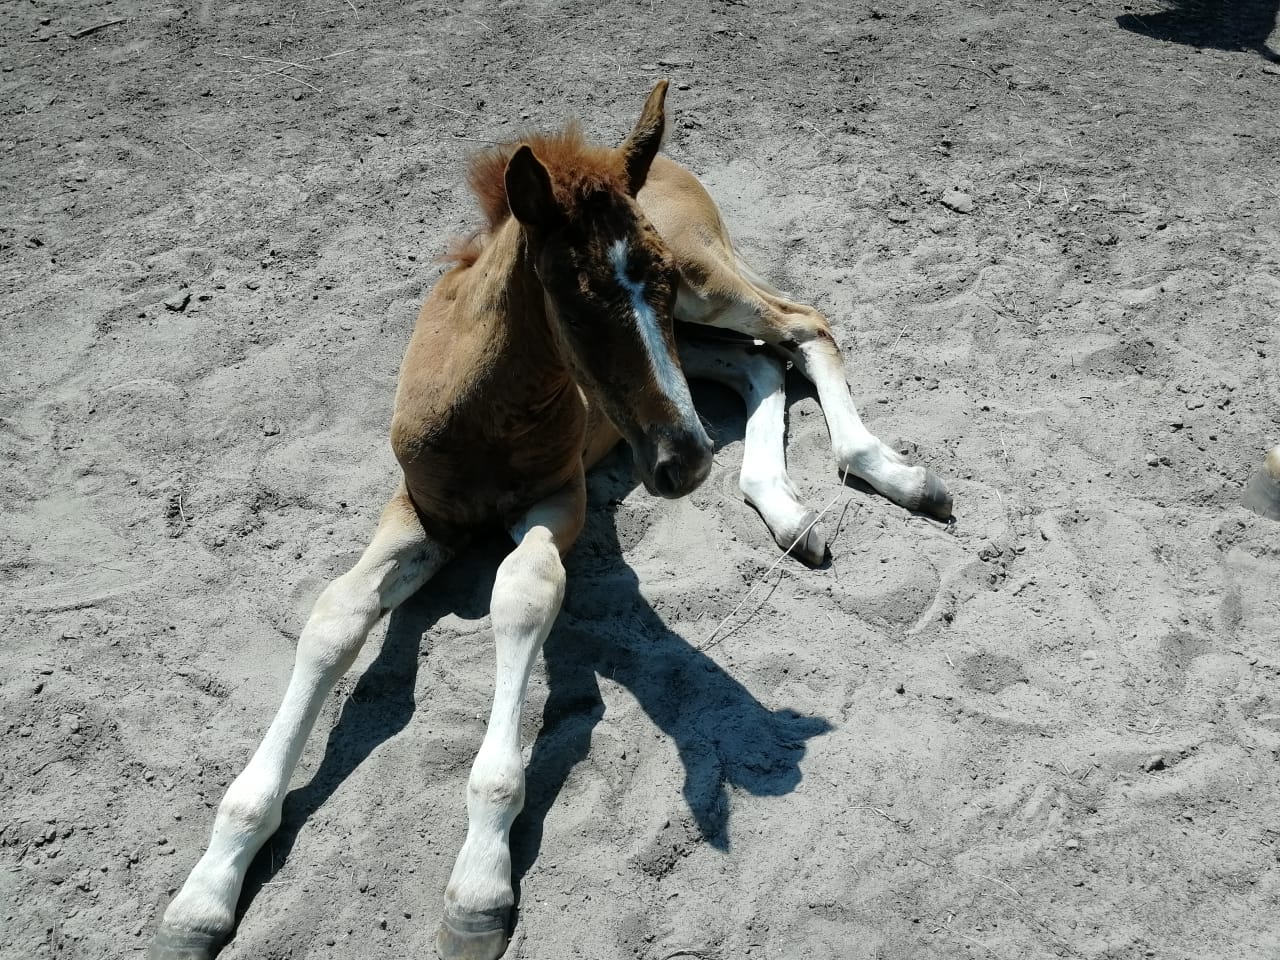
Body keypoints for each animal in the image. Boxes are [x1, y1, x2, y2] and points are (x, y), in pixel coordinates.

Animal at [149, 82, 952, 960]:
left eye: (651, 278)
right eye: (577, 297)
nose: (683, 463)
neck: (481, 411)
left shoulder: (560, 498)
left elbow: (524, 593)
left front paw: (477, 888)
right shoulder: (418, 510)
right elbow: (336, 615)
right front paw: (204, 894)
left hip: (708, 291)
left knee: (803, 324)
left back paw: (893, 472)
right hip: (691, 343)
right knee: (758, 363)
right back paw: (785, 509)